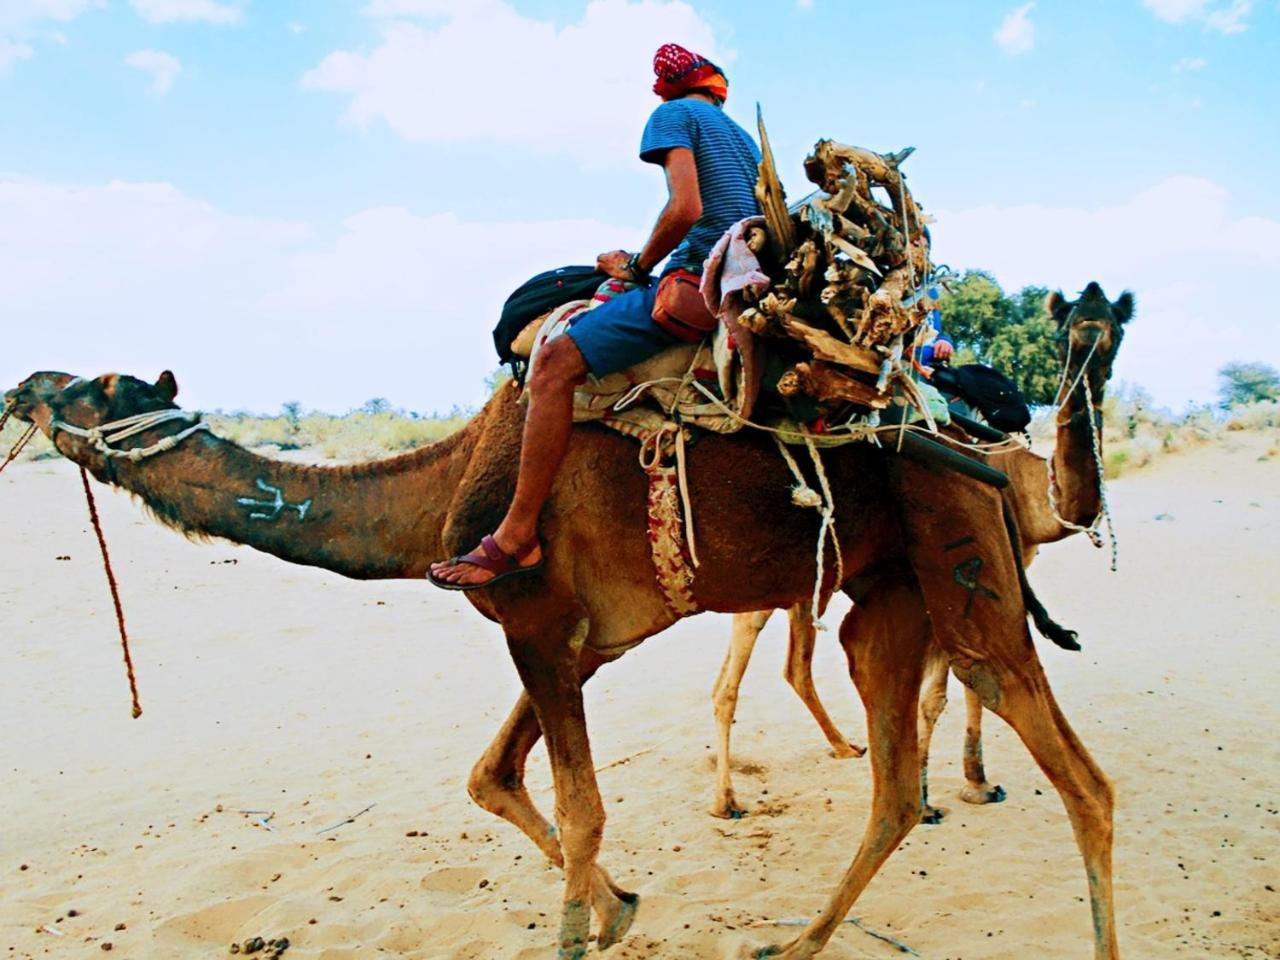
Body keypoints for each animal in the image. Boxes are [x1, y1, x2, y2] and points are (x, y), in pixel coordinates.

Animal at [711, 281, 1131, 824]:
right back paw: (726, 800)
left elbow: (969, 685)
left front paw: (977, 781)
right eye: (1064, 331)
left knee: (794, 668)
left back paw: (844, 746)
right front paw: (933, 797)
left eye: (1116, 332)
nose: (1088, 343)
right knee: (731, 679)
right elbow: (937, 696)